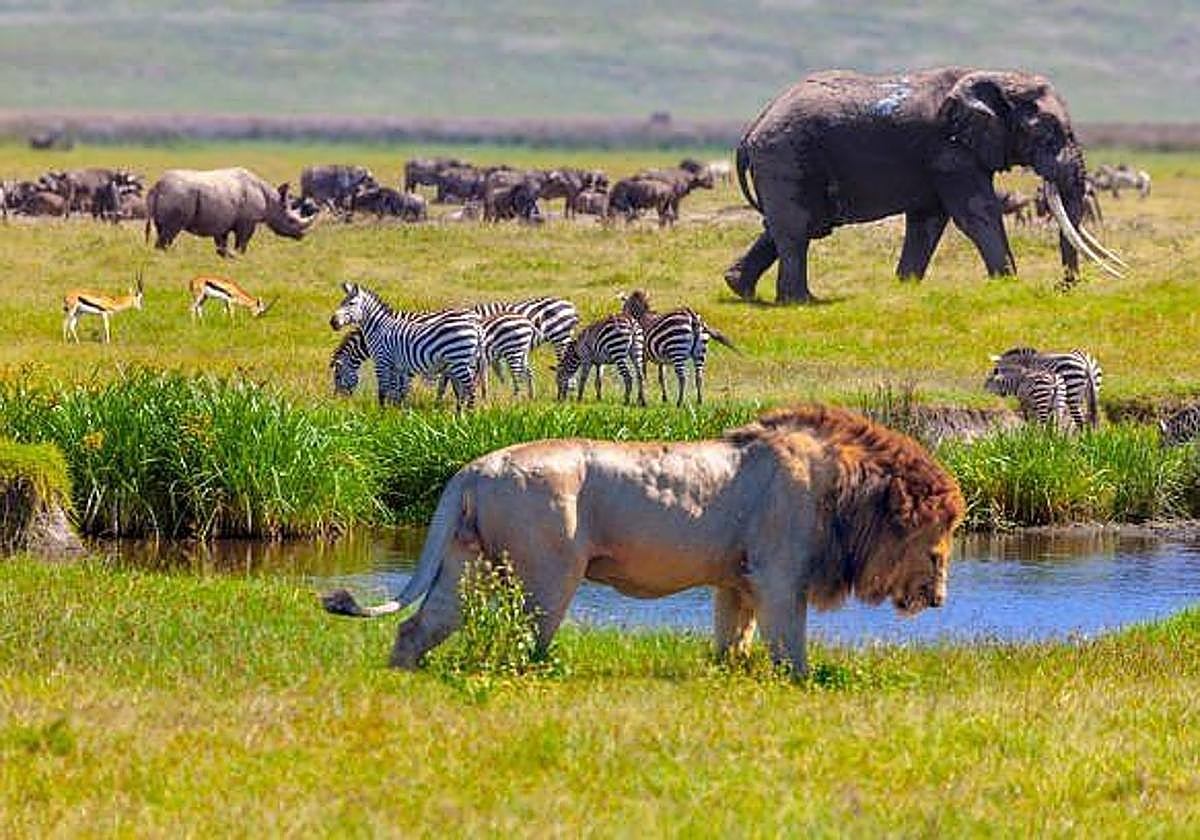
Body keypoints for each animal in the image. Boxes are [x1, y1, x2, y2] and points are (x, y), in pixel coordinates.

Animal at [144, 167, 316, 257]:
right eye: (290, 220)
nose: (302, 235)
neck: (271, 200)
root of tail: (157, 185)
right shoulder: (248, 221)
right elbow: (242, 242)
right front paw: (239, 256)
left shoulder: (222, 221)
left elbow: (222, 245)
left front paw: (228, 257)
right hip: (178, 195)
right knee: (171, 231)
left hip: (172, 195)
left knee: (162, 230)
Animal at [322, 406, 965, 675]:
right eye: (938, 544)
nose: (939, 600)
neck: (846, 490)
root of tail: (473, 468)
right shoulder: (781, 575)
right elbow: (791, 647)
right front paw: (801, 685)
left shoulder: (738, 581)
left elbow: (733, 640)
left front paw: (727, 676)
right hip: (547, 573)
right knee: (524, 643)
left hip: (467, 562)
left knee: (419, 626)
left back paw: (404, 675)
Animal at [724, 67, 1125, 303]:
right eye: (1048, 133)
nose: (1063, 286)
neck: (993, 79)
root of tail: (749, 131)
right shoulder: (949, 149)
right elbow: (976, 212)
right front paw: (1008, 284)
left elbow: (928, 220)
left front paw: (904, 287)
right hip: (785, 154)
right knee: (797, 228)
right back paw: (800, 302)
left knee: (791, 226)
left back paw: (740, 288)